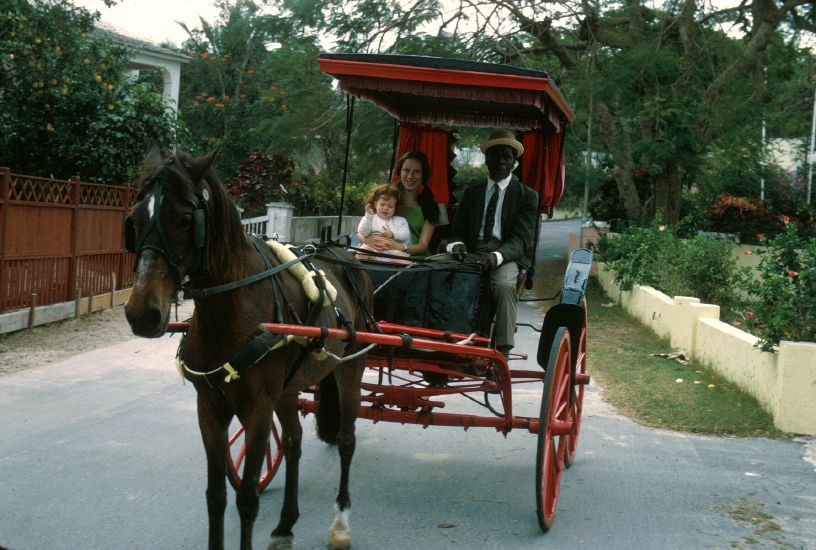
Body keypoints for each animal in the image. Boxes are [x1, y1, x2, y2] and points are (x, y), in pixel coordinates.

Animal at [123, 144, 372, 548]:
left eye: (186, 221)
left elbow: (247, 499)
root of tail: (347, 255)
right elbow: (216, 496)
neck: (229, 313)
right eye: (133, 221)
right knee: (293, 442)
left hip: (349, 369)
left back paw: (340, 522)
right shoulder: (210, 408)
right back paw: (286, 522)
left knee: (347, 440)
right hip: (287, 390)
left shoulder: (257, 409)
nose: (141, 313)